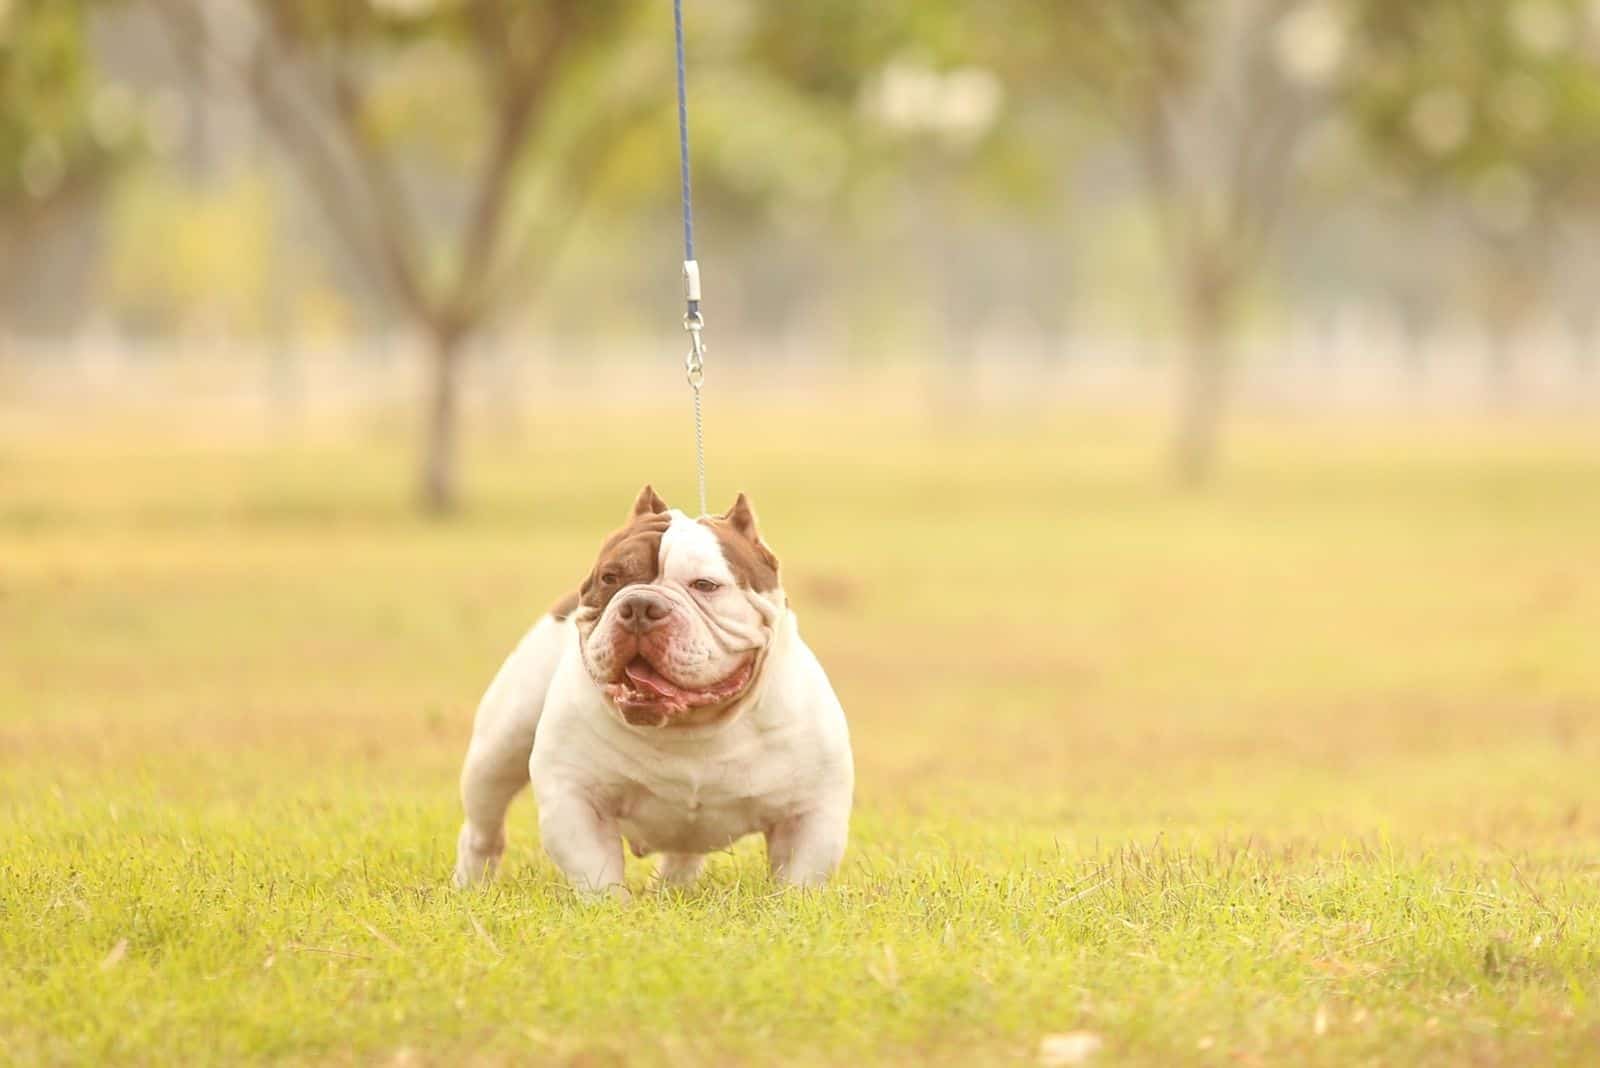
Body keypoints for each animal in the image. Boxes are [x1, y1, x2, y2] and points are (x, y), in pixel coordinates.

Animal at [454, 489, 851, 895]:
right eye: (610, 577)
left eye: (705, 585)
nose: (640, 605)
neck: (692, 727)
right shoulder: (576, 799)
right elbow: (597, 875)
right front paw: (611, 906)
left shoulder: (809, 815)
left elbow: (799, 879)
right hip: (499, 749)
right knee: (483, 829)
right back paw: (471, 884)